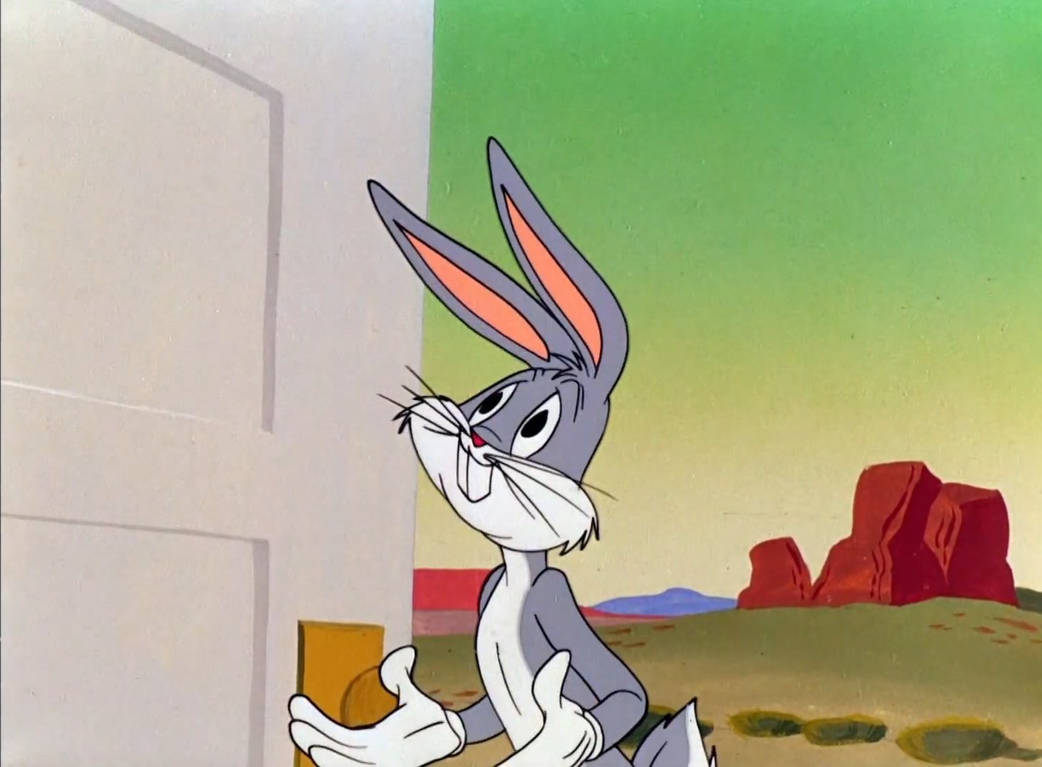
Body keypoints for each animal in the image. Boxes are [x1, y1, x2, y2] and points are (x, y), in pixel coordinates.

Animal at [287, 138, 717, 767]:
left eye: (538, 426)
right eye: (493, 399)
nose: (477, 438)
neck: (516, 575)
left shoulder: (553, 598)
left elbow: (626, 695)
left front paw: (562, 733)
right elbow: (469, 719)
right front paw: (386, 738)